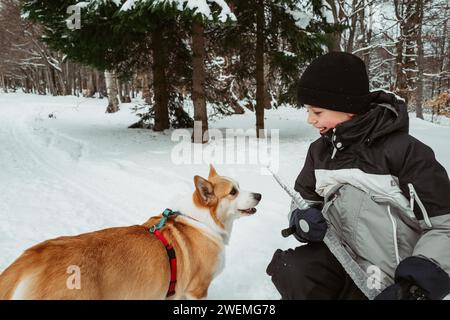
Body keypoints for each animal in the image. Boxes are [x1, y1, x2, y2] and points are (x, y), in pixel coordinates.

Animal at [0, 165, 260, 300]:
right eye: (233, 192)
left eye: (239, 186)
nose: (259, 194)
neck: (202, 220)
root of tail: (35, 256)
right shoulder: (198, 290)